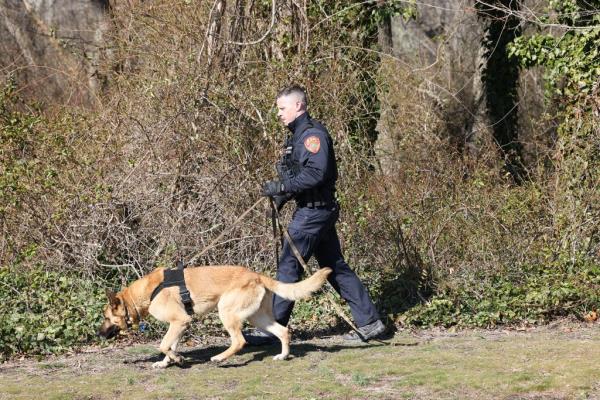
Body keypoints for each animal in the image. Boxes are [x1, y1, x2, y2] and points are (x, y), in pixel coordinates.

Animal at [98, 266, 332, 368]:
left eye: (107, 318)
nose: (99, 335)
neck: (144, 294)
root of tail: (256, 275)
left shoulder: (180, 321)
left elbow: (163, 345)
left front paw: (177, 359)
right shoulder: (179, 324)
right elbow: (169, 345)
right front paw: (166, 363)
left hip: (226, 312)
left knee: (239, 341)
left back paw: (220, 358)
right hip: (257, 319)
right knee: (283, 331)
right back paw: (283, 356)